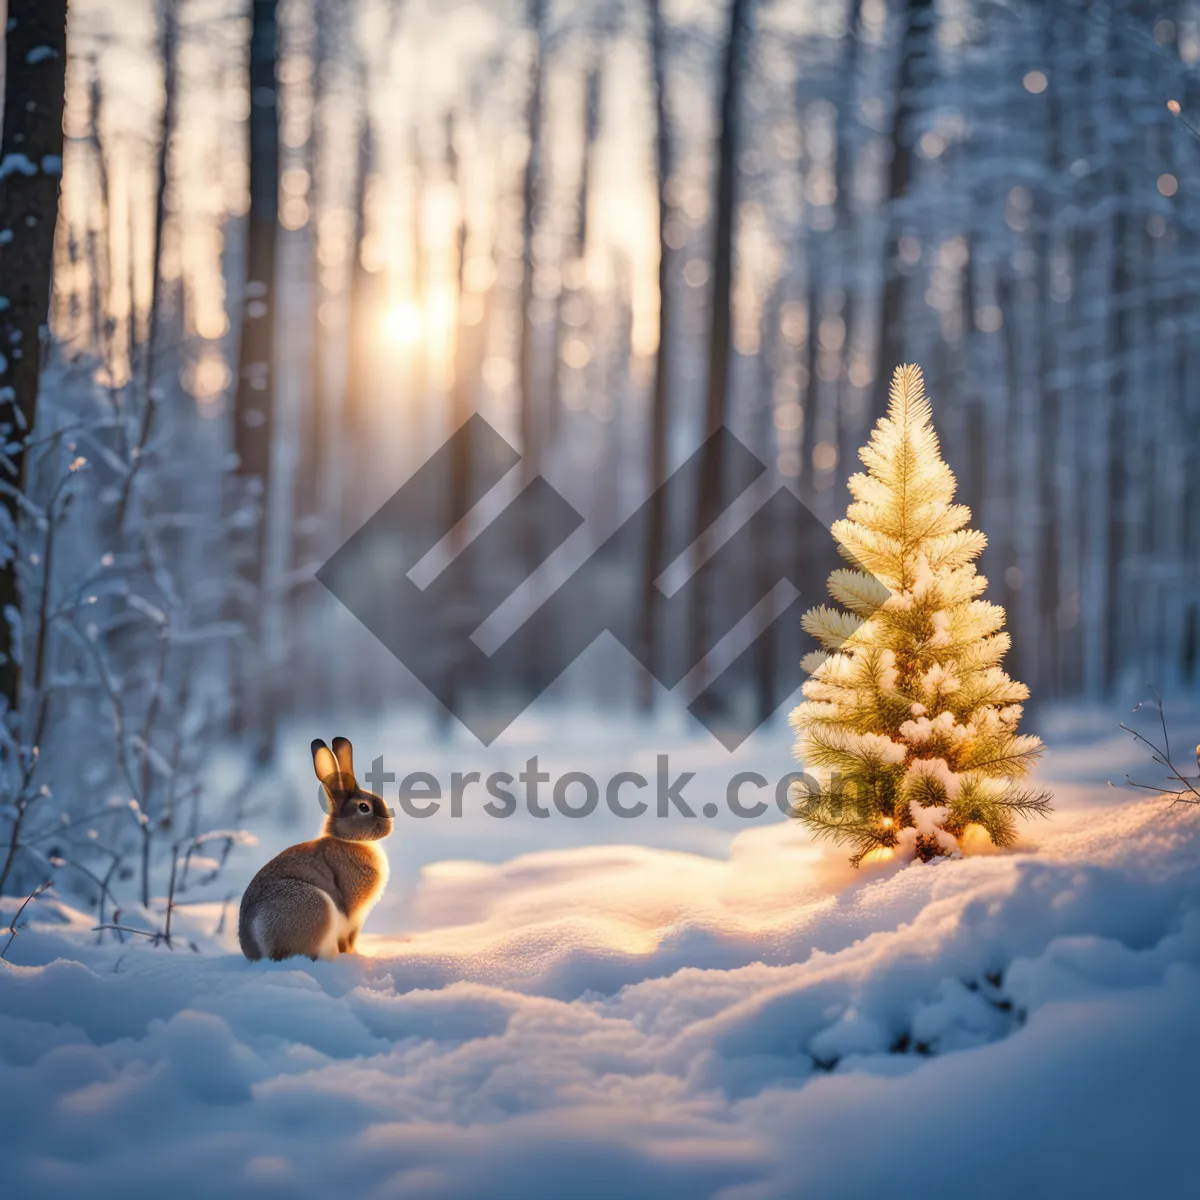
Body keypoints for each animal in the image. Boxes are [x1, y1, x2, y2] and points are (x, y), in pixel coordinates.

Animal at [238, 734, 393, 960]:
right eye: (364, 807)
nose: (389, 824)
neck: (348, 841)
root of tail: (257, 948)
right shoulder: (352, 916)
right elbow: (348, 939)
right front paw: (353, 956)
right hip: (315, 906)